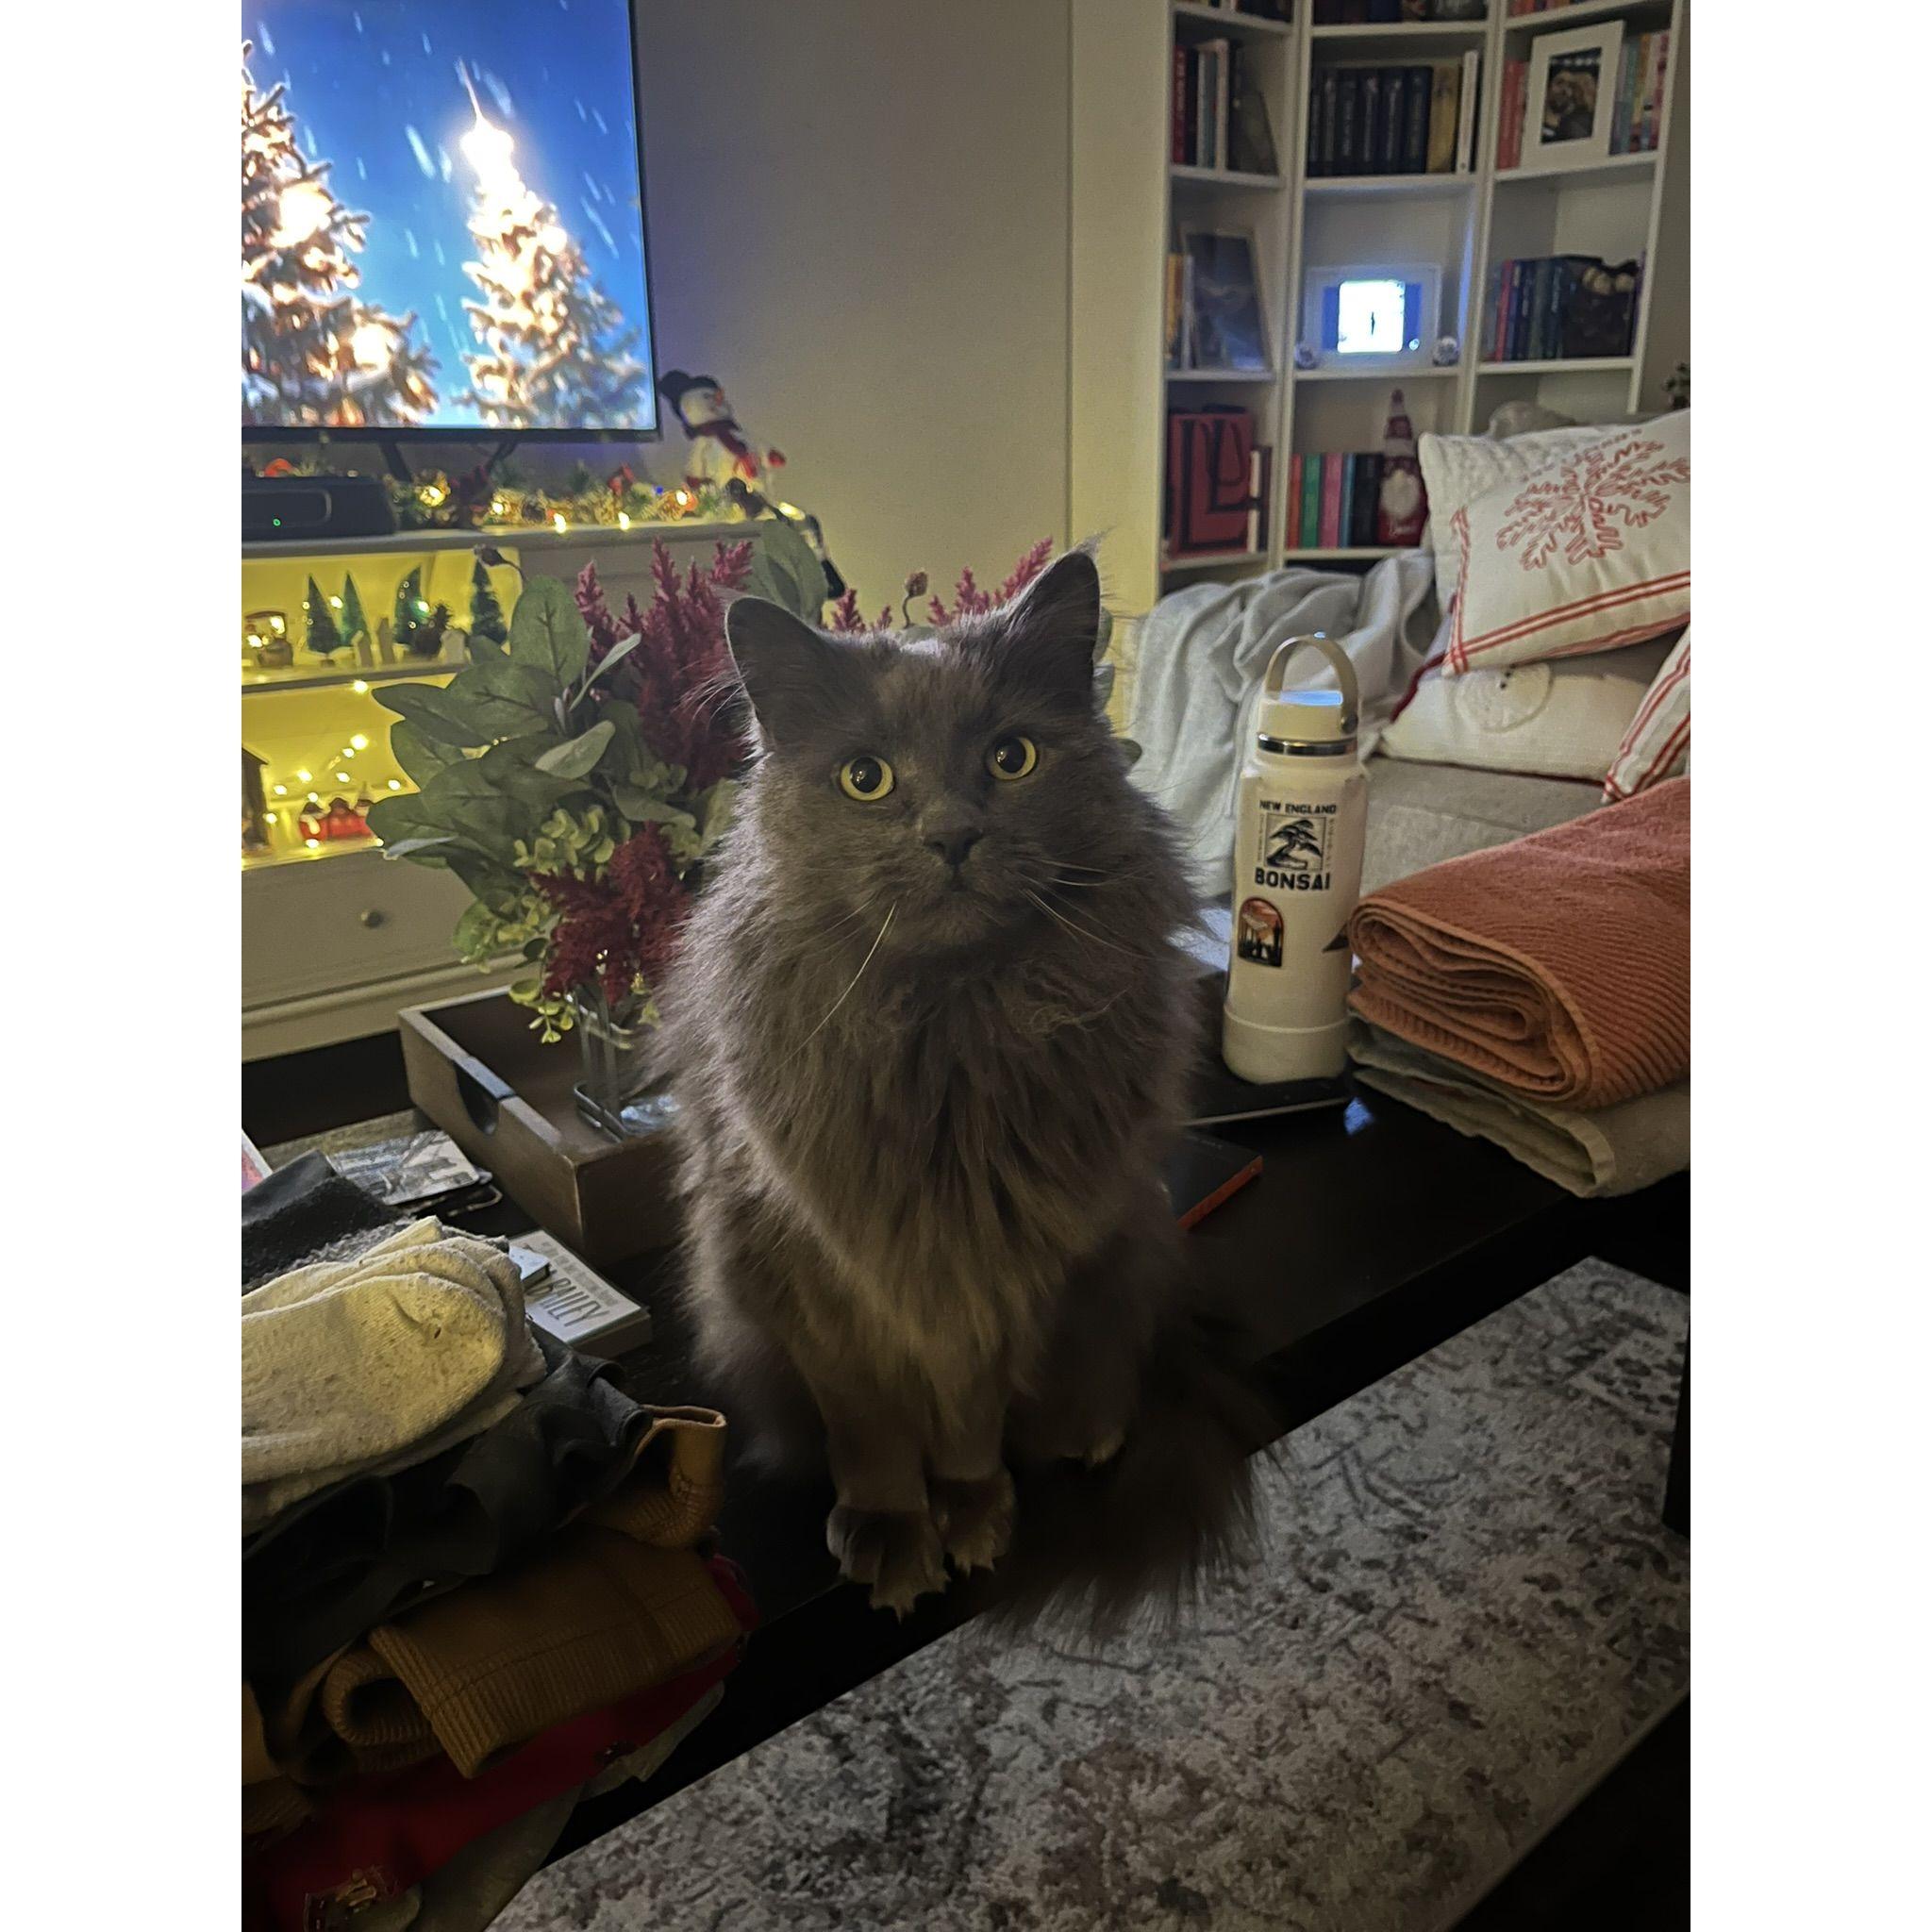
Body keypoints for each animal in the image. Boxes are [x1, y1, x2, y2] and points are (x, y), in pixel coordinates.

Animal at [661, 549, 1243, 1615]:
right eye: (866, 778)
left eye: (1011, 759)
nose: (952, 834)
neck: (950, 1032)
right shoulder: (813, 1265)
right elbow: (870, 1429)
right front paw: (893, 1528)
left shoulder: (1001, 1261)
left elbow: (971, 1416)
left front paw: (971, 1512)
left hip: (1123, 1243)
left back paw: (1082, 1427)